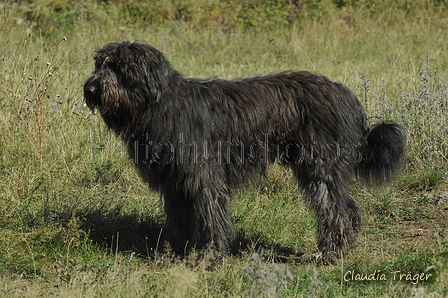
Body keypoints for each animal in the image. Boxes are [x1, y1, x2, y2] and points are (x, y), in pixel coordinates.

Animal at [84, 41, 406, 260]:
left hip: (320, 166)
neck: (160, 104)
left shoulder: (204, 177)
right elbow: (180, 221)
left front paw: (211, 257)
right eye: (99, 64)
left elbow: (212, 218)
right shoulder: (175, 183)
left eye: (119, 67)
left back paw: (329, 253)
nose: (90, 89)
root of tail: (346, 94)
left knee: (339, 209)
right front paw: (176, 254)